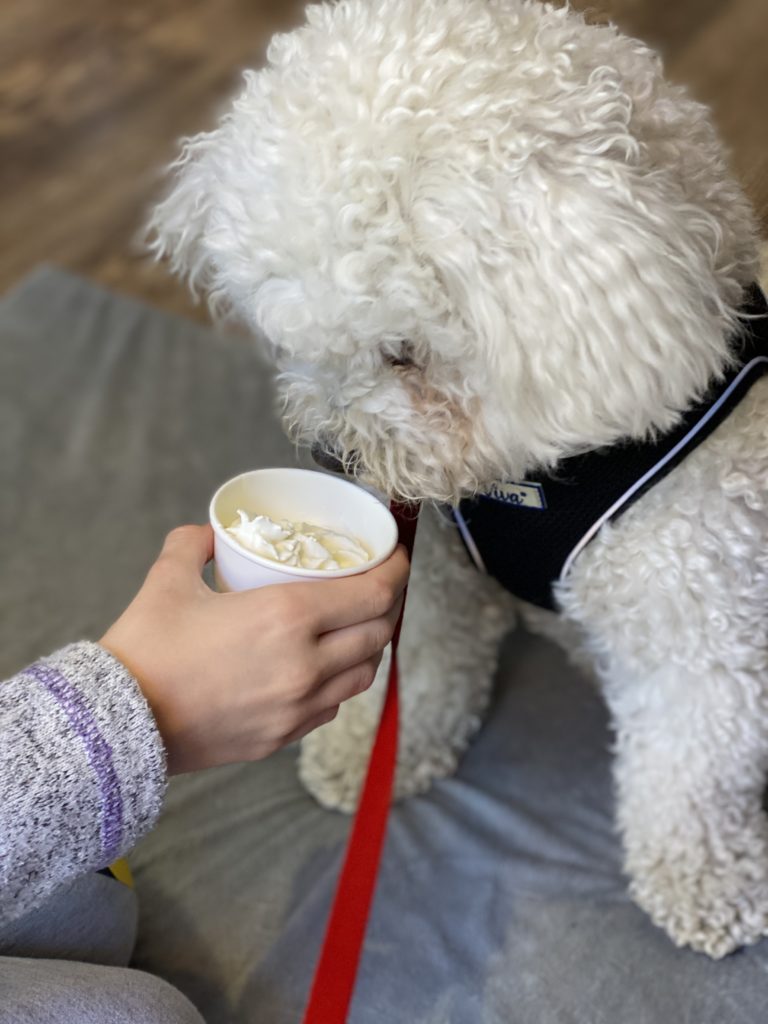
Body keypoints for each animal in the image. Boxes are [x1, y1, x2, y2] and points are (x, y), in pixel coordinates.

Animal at [148, 0, 768, 958]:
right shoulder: (430, 576)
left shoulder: (700, 637)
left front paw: (704, 885)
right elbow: (425, 672)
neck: (543, 470)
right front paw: (371, 755)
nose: (331, 456)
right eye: (292, 337)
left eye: (405, 352)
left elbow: (692, 776)